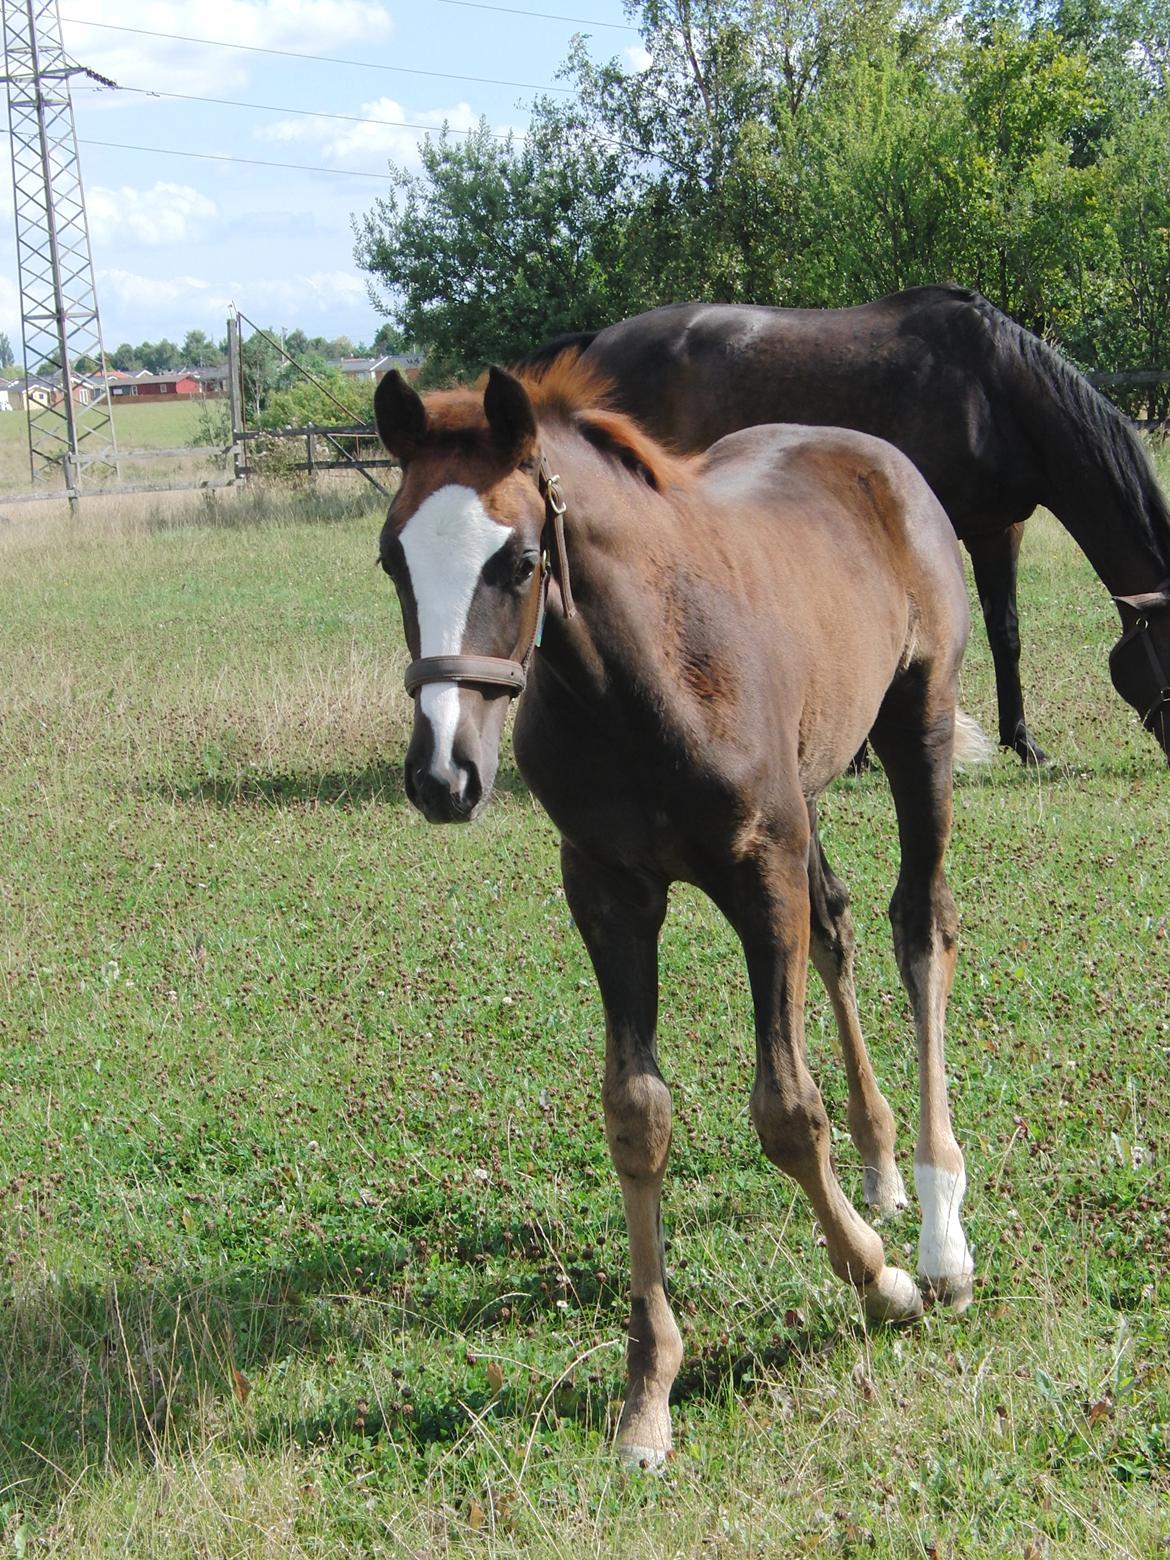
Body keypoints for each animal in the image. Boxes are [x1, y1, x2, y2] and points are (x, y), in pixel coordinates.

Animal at [372, 358, 979, 1466]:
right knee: (839, 927)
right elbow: (636, 1114)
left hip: (919, 724)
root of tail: (874, 453)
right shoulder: (607, 888)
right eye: (394, 557)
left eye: (519, 560)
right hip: (809, 790)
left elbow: (784, 1110)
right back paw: (880, 1164)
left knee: (921, 926)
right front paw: (647, 1390)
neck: (640, 673)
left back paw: (940, 1230)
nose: (443, 775)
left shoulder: (759, 873)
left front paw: (882, 1282)